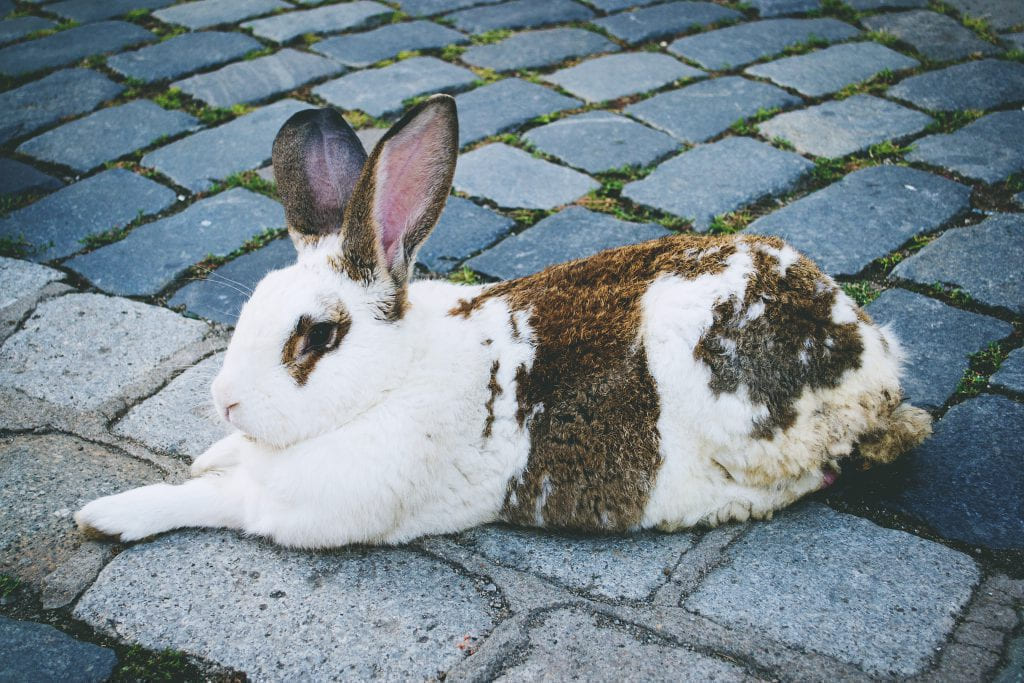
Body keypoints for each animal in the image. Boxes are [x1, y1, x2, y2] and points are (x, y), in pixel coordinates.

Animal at [75, 94, 932, 548]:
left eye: (318, 335)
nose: (225, 400)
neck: (391, 380)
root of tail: (872, 361)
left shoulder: (298, 511)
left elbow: (208, 502)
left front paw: (106, 514)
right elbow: (217, 468)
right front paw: (206, 451)